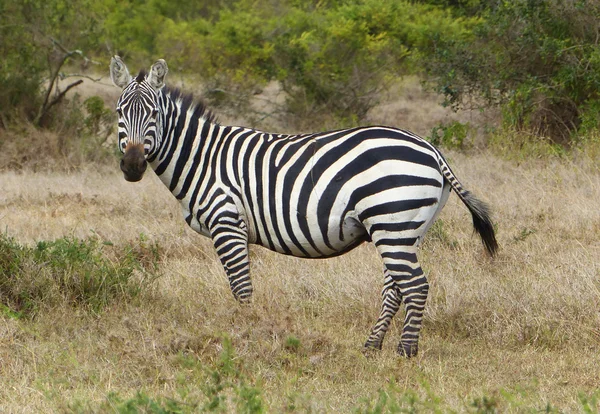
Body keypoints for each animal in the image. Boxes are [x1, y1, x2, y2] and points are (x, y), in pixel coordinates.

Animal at [110, 56, 500, 358]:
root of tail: (431, 148)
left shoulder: (228, 223)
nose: (132, 166)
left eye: (153, 114)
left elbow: (242, 289)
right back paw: (371, 347)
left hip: (392, 222)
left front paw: (247, 336)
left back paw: (406, 352)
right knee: (396, 287)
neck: (203, 158)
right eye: (118, 112)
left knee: (416, 286)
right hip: (405, 229)